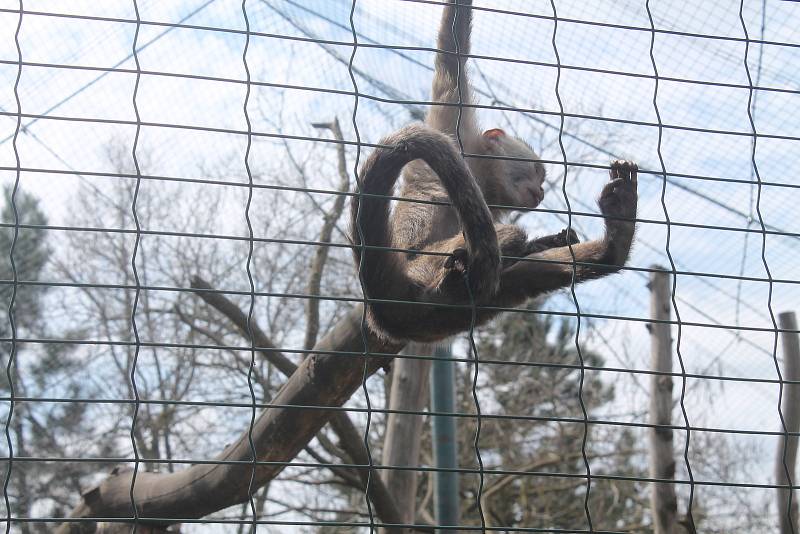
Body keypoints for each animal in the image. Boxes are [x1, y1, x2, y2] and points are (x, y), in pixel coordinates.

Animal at [350, 0, 636, 344]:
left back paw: (613, 243)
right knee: (505, 241)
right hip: (420, 272)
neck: (482, 177)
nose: (541, 190)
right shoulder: (454, 131)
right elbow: (452, 56)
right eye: (537, 173)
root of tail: (384, 312)